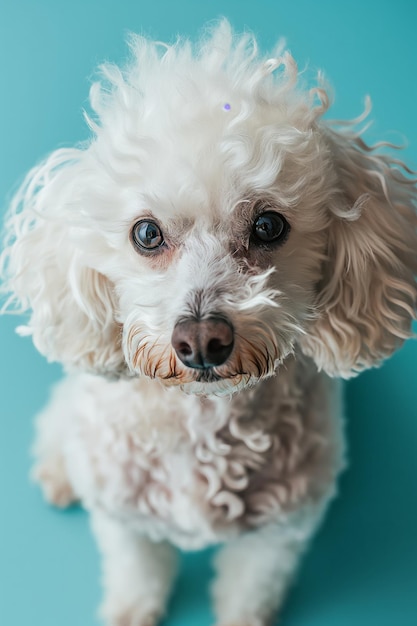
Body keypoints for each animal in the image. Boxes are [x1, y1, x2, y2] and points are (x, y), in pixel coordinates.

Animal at [0, 20, 416, 624]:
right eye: (147, 233)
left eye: (268, 225)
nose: (200, 341)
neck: (200, 419)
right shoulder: (124, 520)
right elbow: (138, 571)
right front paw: (132, 608)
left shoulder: (280, 533)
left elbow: (250, 589)